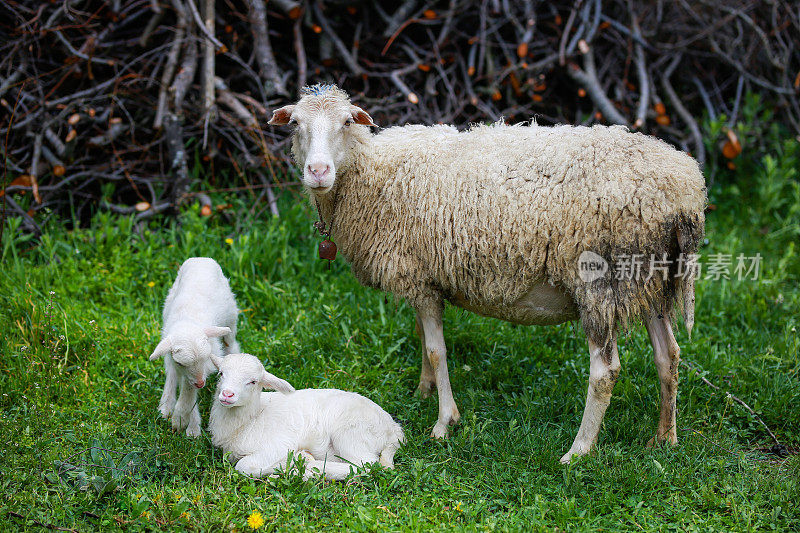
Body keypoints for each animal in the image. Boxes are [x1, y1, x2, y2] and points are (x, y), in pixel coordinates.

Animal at [148, 256, 239, 436]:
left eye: (205, 357)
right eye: (181, 363)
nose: (201, 383)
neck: (188, 321)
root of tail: (201, 259)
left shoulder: (209, 360)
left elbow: (189, 388)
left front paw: (183, 421)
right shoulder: (173, 357)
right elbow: (180, 377)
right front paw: (176, 415)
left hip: (231, 316)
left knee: (231, 343)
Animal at [209, 352, 404, 480]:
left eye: (253, 381)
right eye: (221, 373)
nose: (227, 394)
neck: (252, 419)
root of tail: (393, 429)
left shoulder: (278, 445)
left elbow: (243, 466)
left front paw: (288, 466)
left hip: (351, 432)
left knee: (366, 464)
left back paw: (311, 468)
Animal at [268, 82, 708, 462]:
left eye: (346, 122)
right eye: (296, 125)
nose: (318, 171)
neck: (371, 176)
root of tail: (685, 190)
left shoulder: (421, 280)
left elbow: (437, 349)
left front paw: (444, 422)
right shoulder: (424, 276)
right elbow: (423, 337)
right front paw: (424, 390)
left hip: (599, 283)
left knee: (605, 372)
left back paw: (578, 451)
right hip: (648, 279)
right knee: (669, 354)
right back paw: (664, 438)